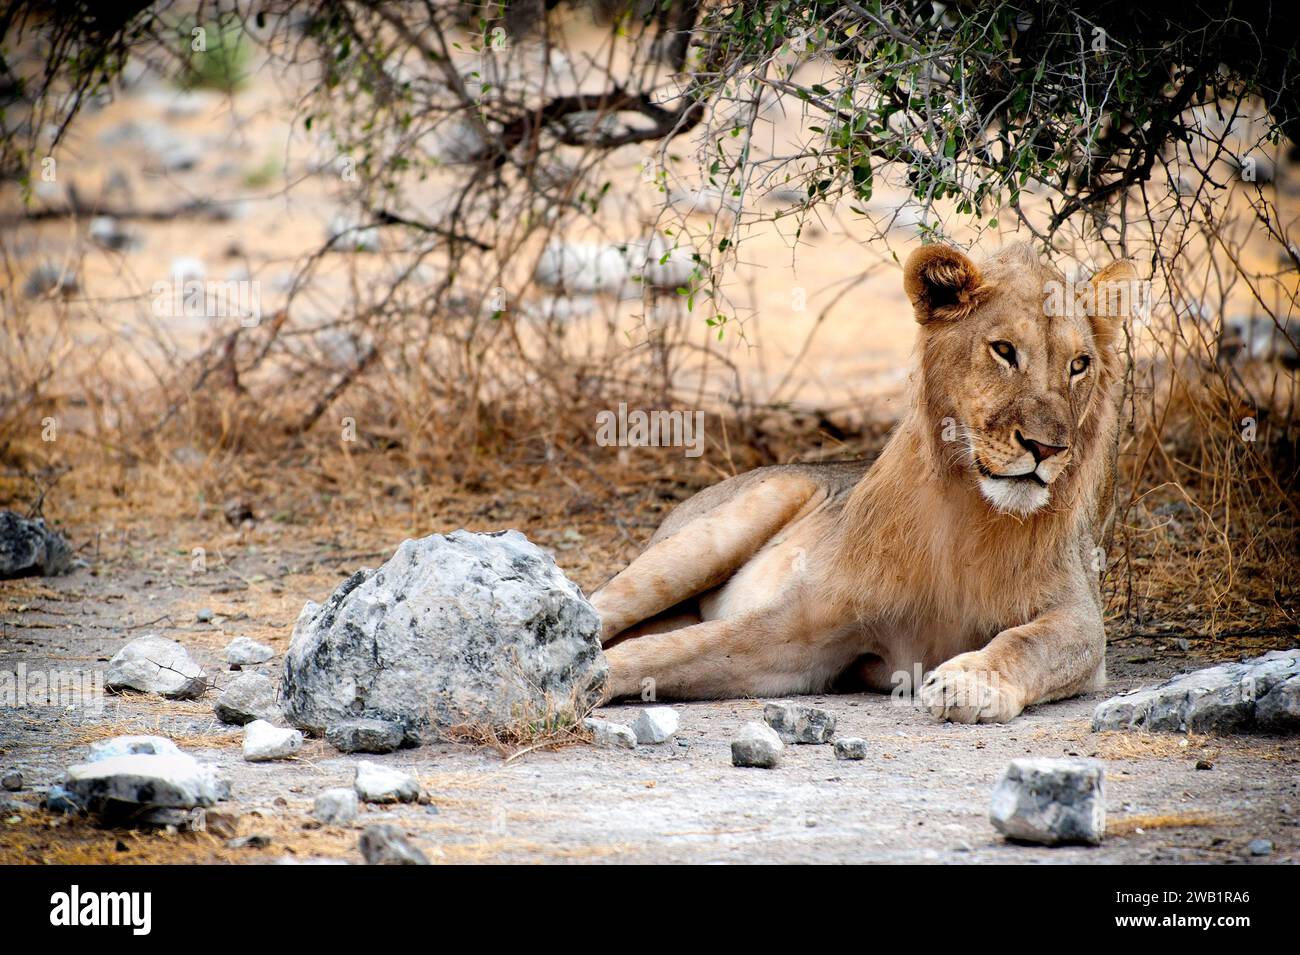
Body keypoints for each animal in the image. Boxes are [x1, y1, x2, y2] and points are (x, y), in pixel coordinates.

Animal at [592, 240, 1138, 722]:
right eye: (1004, 350)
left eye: (1079, 365)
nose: (1047, 449)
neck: (970, 508)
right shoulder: (804, 625)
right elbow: (674, 648)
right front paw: (583, 679)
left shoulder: (1078, 615)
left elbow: (1031, 642)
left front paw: (970, 681)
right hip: (716, 533)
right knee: (600, 605)